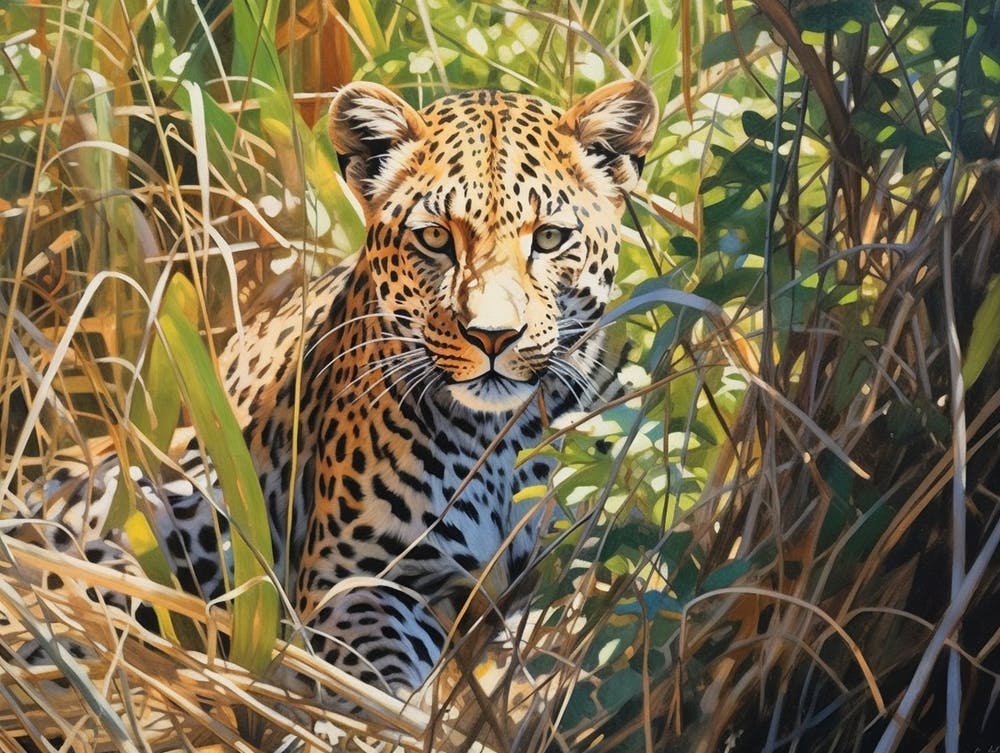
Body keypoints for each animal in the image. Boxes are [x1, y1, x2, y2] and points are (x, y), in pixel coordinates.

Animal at [4, 78, 658, 708]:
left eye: (548, 238)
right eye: (435, 237)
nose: (493, 335)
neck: (496, 436)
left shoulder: (578, 561)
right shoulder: (357, 581)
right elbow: (379, 681)